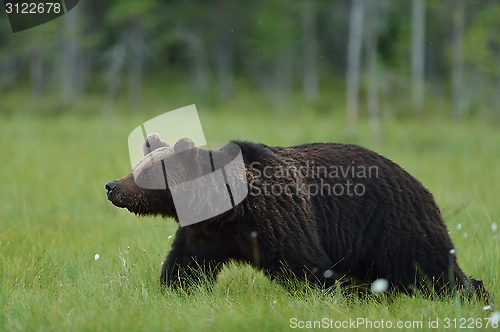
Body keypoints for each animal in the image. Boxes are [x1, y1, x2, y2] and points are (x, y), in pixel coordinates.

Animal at [105, 134, 492, 302]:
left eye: (144, 172)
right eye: (136, 166)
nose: (111, 186)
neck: (228, 210)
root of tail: (421, 186)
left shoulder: (277, 218)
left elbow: (305, 264)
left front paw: (332, 293)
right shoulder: (207, 234)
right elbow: (186, 265)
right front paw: (171, 290)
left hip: (393, 225)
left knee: (430, 269)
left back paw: (473, 292)